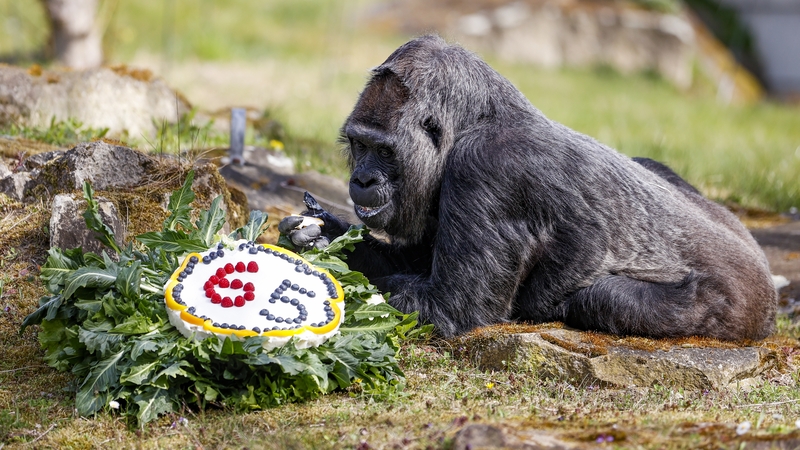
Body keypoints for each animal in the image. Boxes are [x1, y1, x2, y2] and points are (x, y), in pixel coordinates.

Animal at [281, 35, 777, 340]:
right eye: (358, 144)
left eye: (383, 150)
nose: (361, 179)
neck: (477, 119)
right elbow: (411, 260)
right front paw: (323, 235)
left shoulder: (489, 169)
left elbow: (447, 308)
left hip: (737, 310)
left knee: (604, 300)